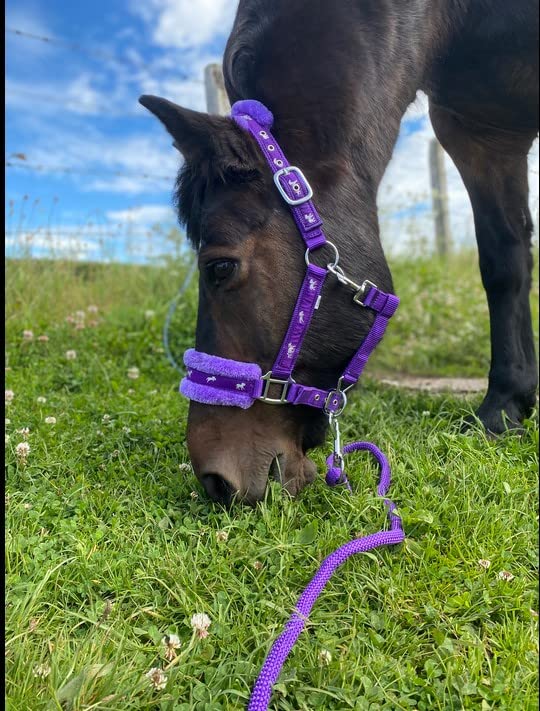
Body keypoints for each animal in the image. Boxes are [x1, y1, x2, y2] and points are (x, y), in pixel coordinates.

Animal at [140, 0, 540, 506]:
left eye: (220, 267)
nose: (214, 480)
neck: (458, 20)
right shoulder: (479, 133)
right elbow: (503, 262)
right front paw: (507, 405)